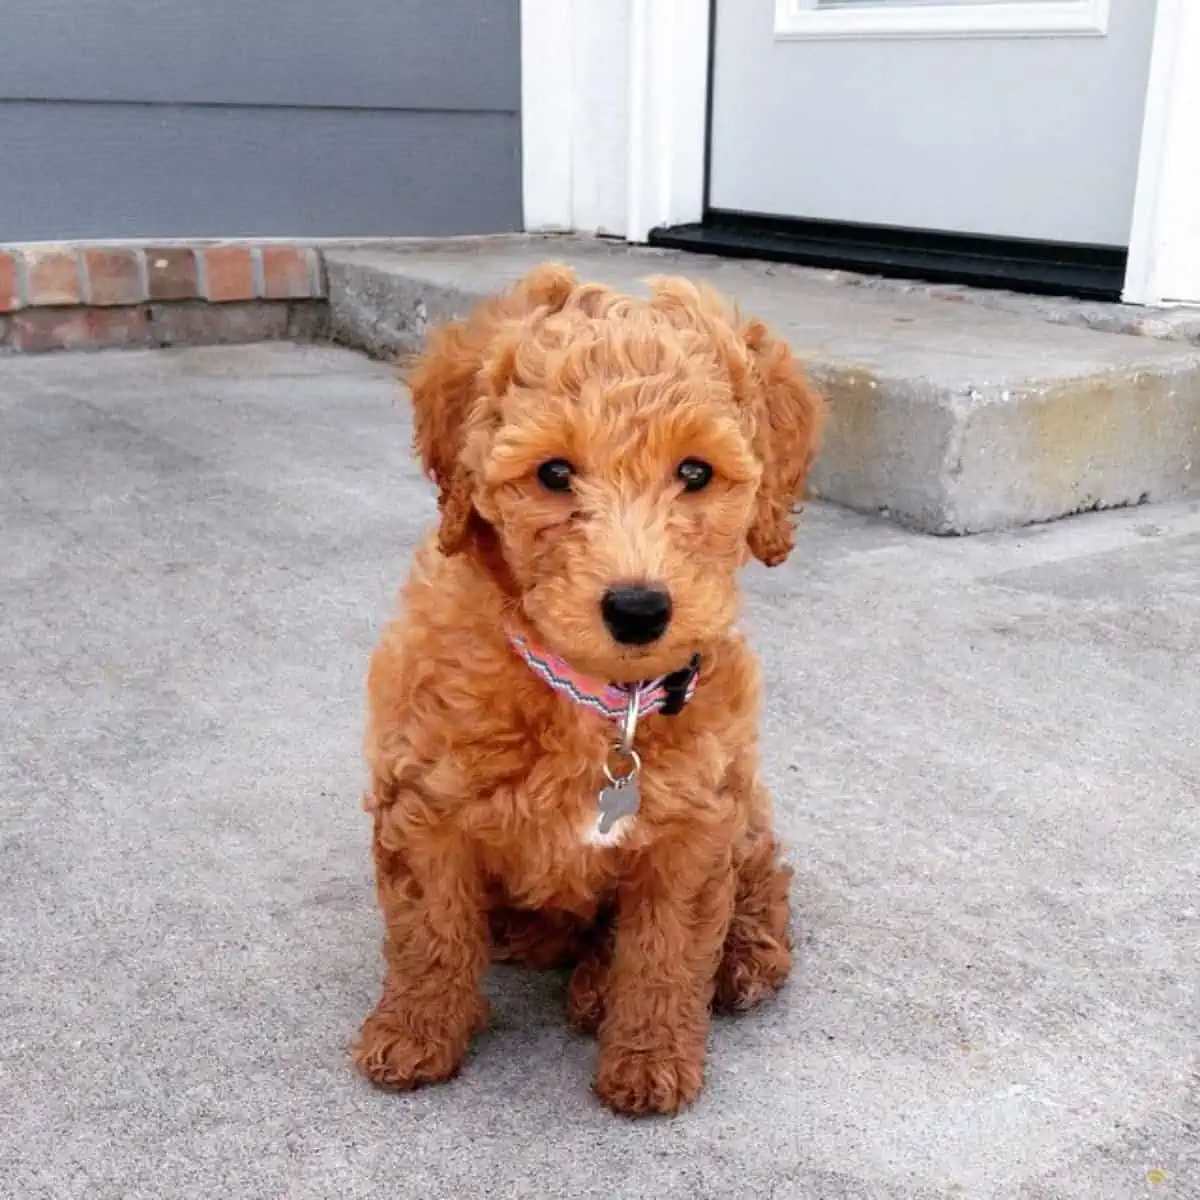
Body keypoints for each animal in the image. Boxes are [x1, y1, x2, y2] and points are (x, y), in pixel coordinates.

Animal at [355, 262, 825, 1113]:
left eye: (696, 472)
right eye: (554, 473)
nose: (639, 609)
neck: (602, 698)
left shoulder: (693, 828)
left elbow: (667, 952)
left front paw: (650, 1059)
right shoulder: (423, 801)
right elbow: (429, 932)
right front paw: (414, 1033)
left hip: (744, 809)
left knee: (762, 882)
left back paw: (725, 966)